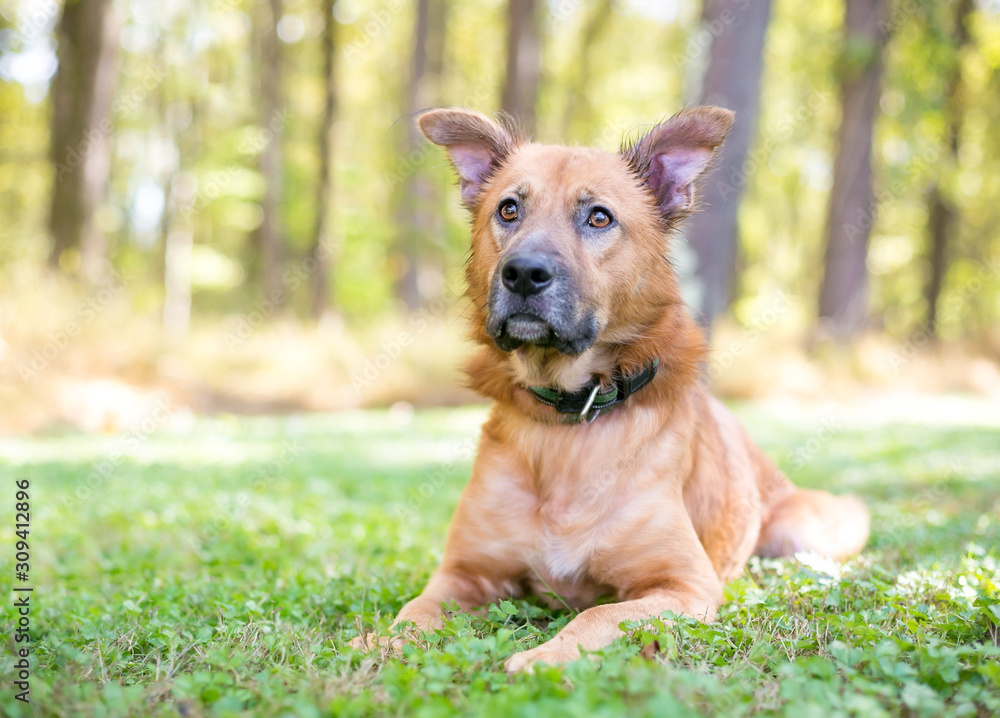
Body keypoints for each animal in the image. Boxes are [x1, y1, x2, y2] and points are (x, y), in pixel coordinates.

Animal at [350, 105, 868, 676]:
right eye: (508, 209)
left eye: (599, 217)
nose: (523, 273)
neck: (568, 425)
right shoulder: (462, 572)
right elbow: (414, 611)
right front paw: (378, 644)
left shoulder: (683, 585)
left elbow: (597, 616)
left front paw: (545, 657)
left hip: (808, 531)